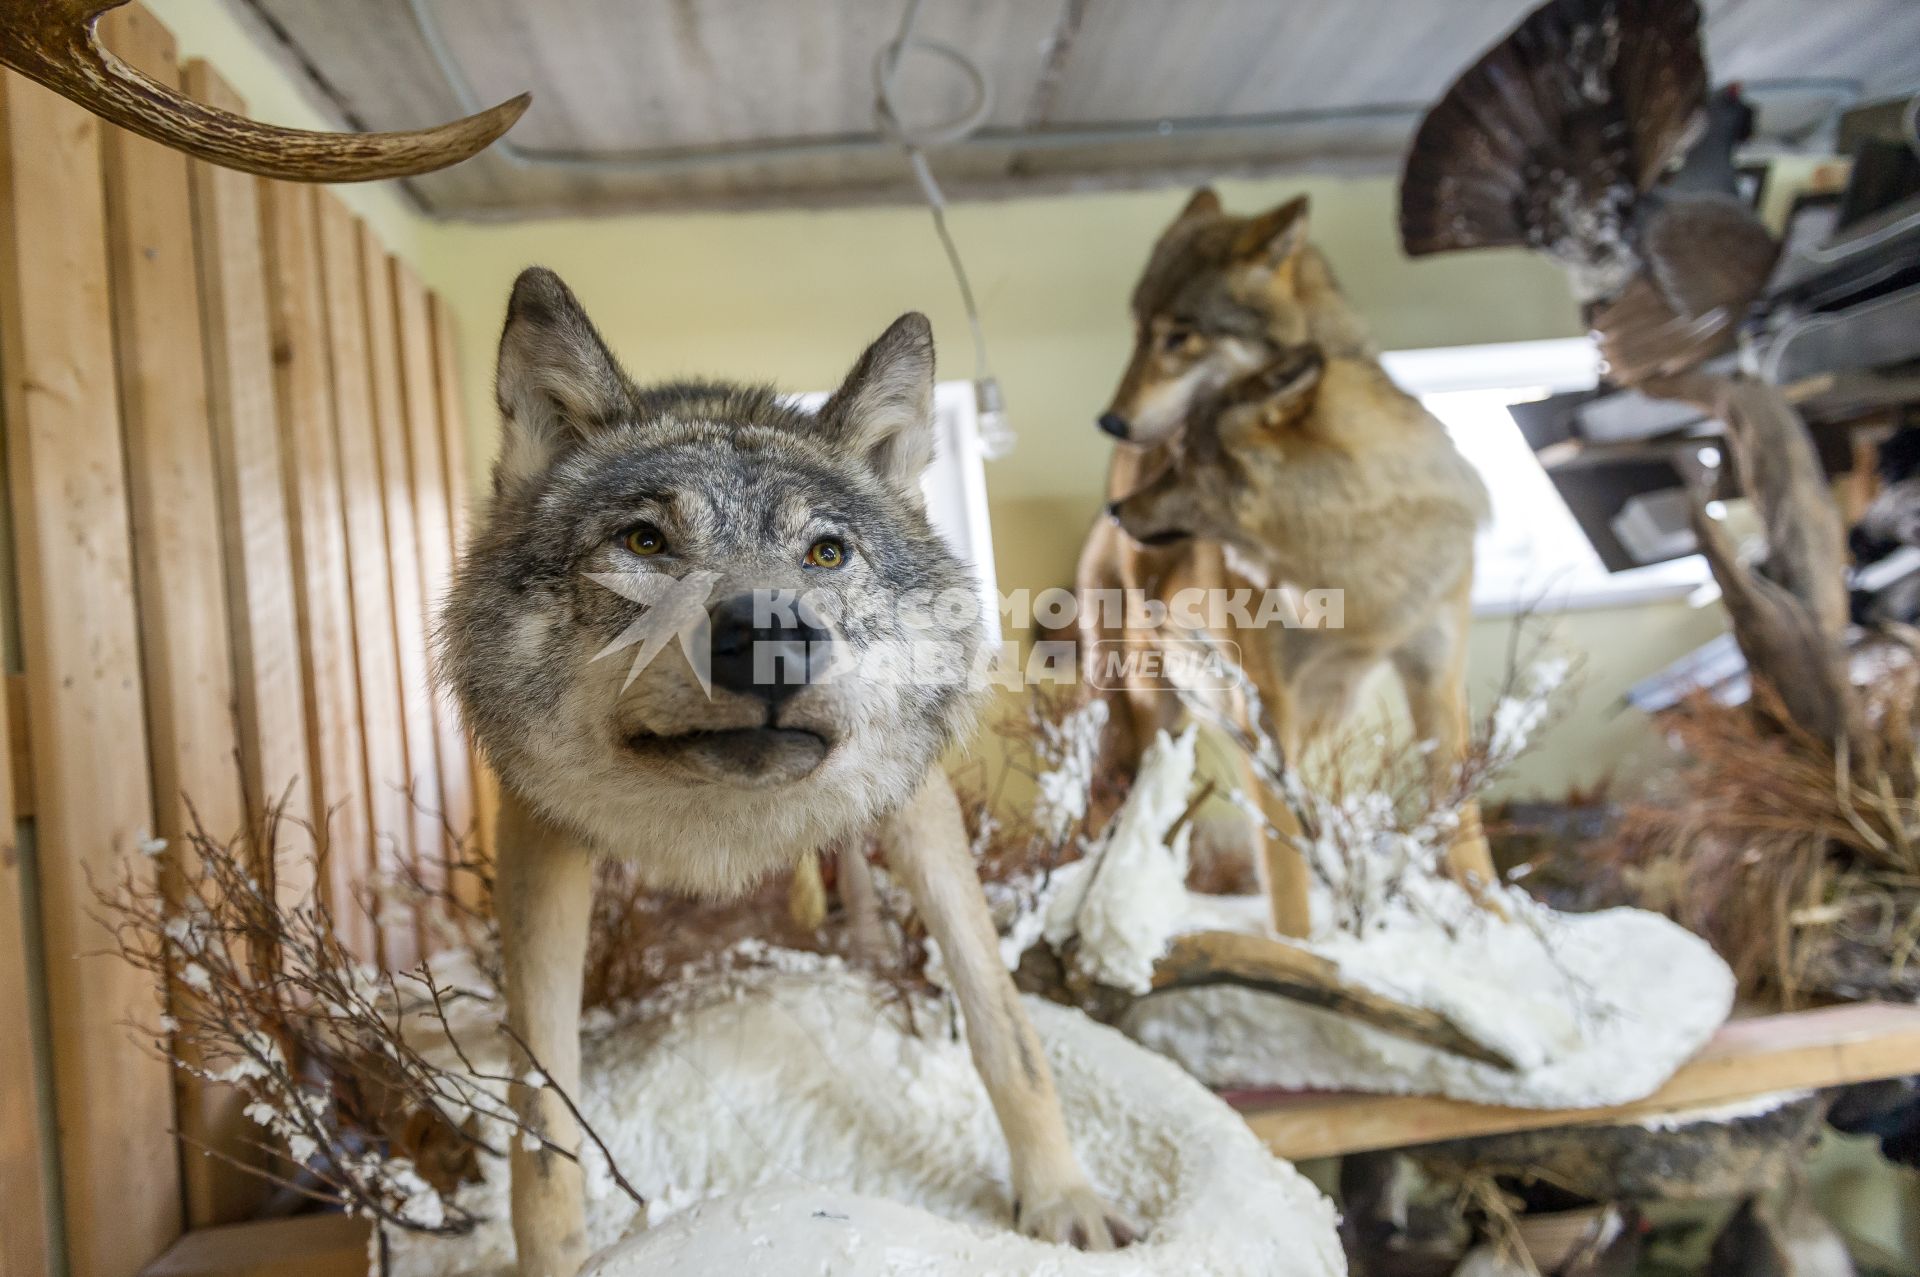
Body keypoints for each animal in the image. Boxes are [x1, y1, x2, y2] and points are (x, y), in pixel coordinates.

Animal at [441, 266, 1128, 1267]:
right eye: (644, 543)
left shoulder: (918, 805)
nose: (771, 635)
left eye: (826, 552)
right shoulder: (540, 843)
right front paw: (557, 1258)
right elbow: (543, 1123)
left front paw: (1061, 1201)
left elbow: (1004, 1024)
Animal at [1082, 189, 1497, 933]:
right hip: (1146, 714)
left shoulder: (1435, 683)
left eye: (1179, 336)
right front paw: (1312, 949)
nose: (1118, 506)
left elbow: (1469, 844)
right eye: (1137, 332)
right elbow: (1288, 881)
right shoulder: (1268, 716)